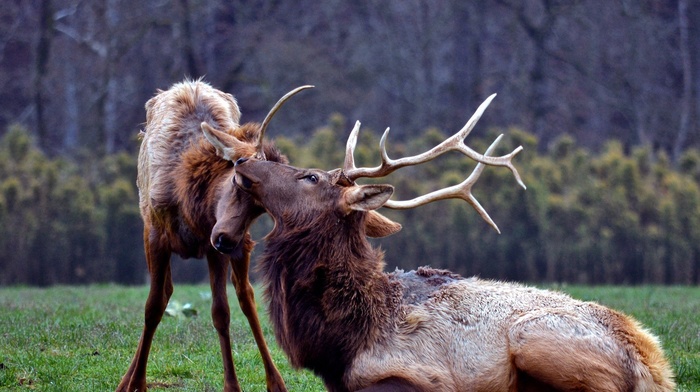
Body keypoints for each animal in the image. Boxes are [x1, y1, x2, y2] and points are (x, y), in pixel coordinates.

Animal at [117, 79, 312, 392]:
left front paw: (232, 385)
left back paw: (276, 381)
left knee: (246, 295)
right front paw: (137, 383)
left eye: (262, 207)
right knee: (166, 291)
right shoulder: (156, 235)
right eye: (240, 178)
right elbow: (152, 307)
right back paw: (125, 380)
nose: (224, 238)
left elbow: (221, 312)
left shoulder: (217, 250)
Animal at [227, 95, 676, 392]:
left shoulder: (418, 376)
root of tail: (653, 365)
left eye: (311, 177)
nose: (244, 161)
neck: (342, 340)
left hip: (533, 337)